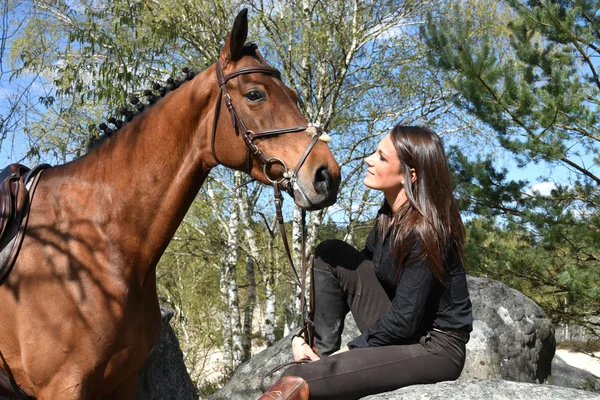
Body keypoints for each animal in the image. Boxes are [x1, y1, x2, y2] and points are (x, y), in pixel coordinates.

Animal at [0, 9, 340, 400]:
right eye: (255, 94)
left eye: (294, 95)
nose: (327, 175)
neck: (94, 239)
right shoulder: (63, 386)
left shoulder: (123, 381)